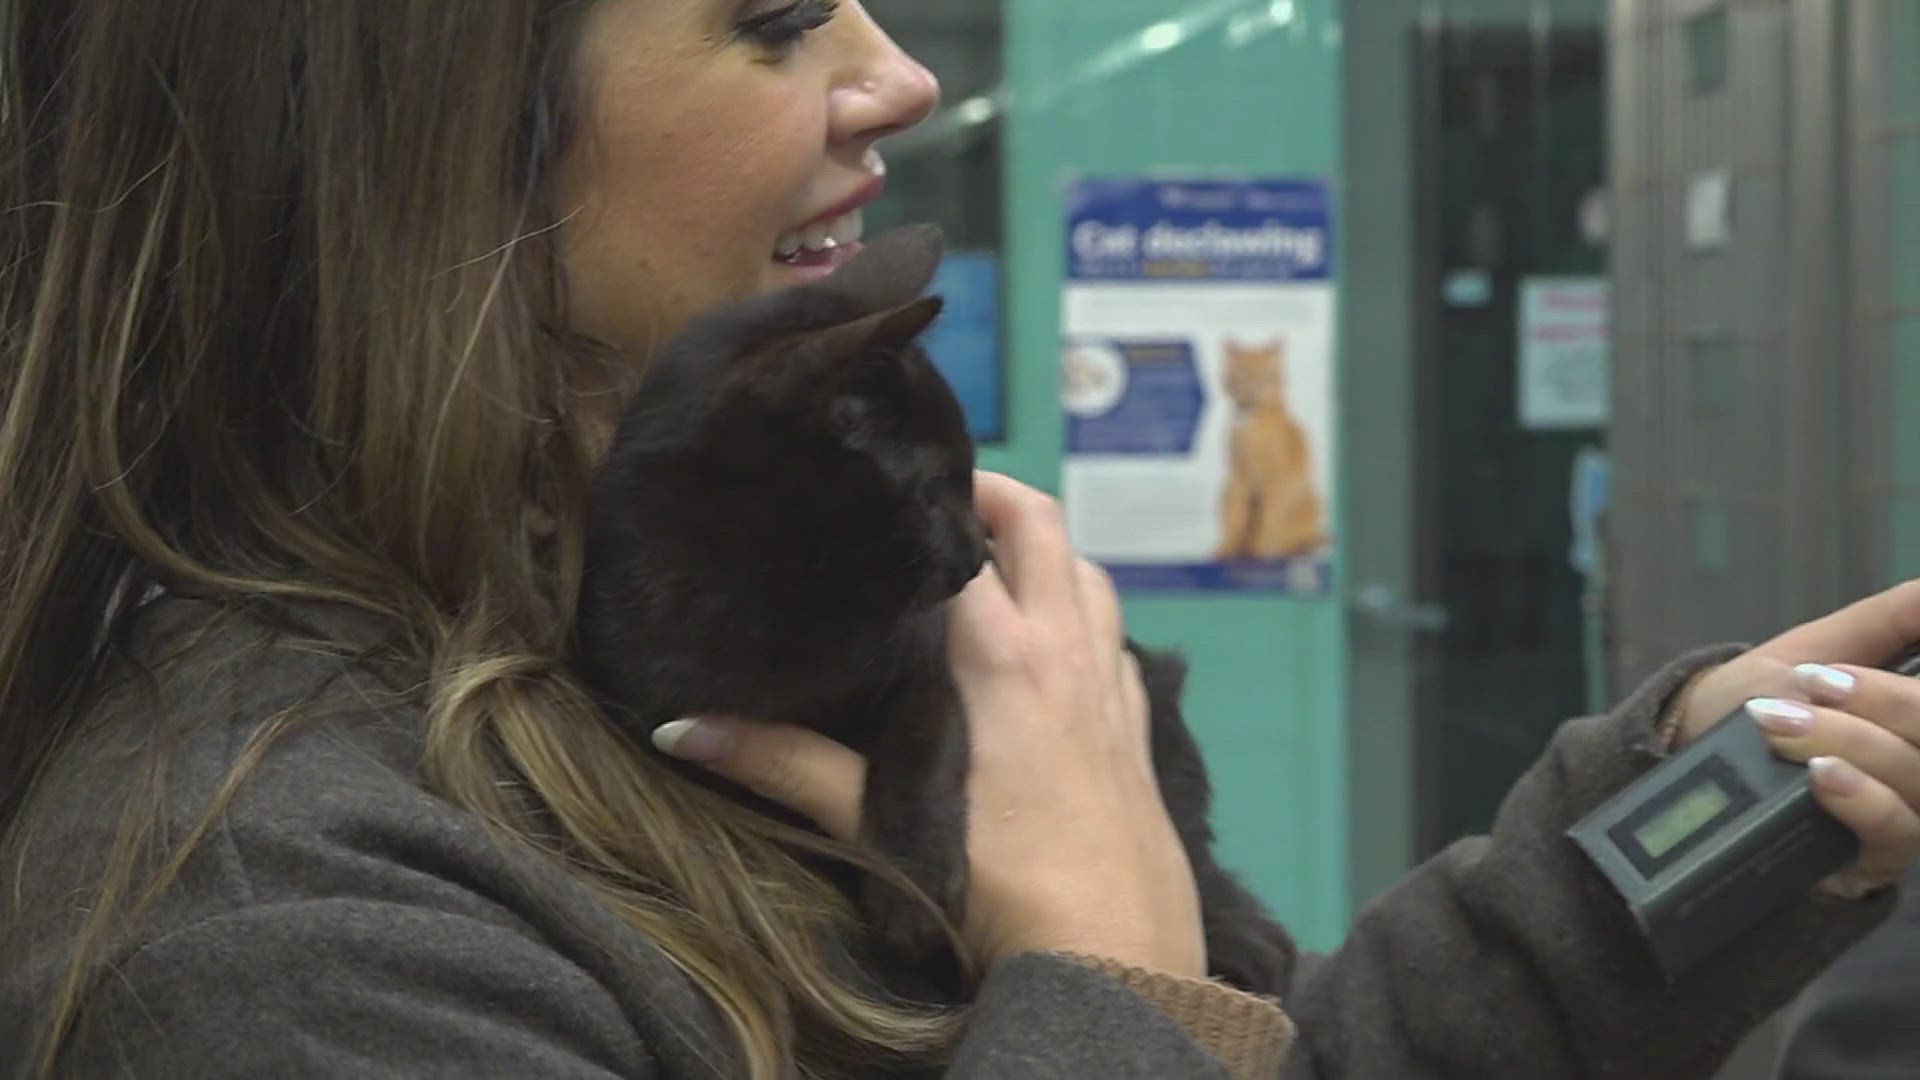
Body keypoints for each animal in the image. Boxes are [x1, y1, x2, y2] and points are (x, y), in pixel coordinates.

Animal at [568, 224, 1290, 999]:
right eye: (936, 485)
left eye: (971, 478)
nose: (977, 556)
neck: (781, 593)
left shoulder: (929, 666)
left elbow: (921, 746)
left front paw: (912, 883)